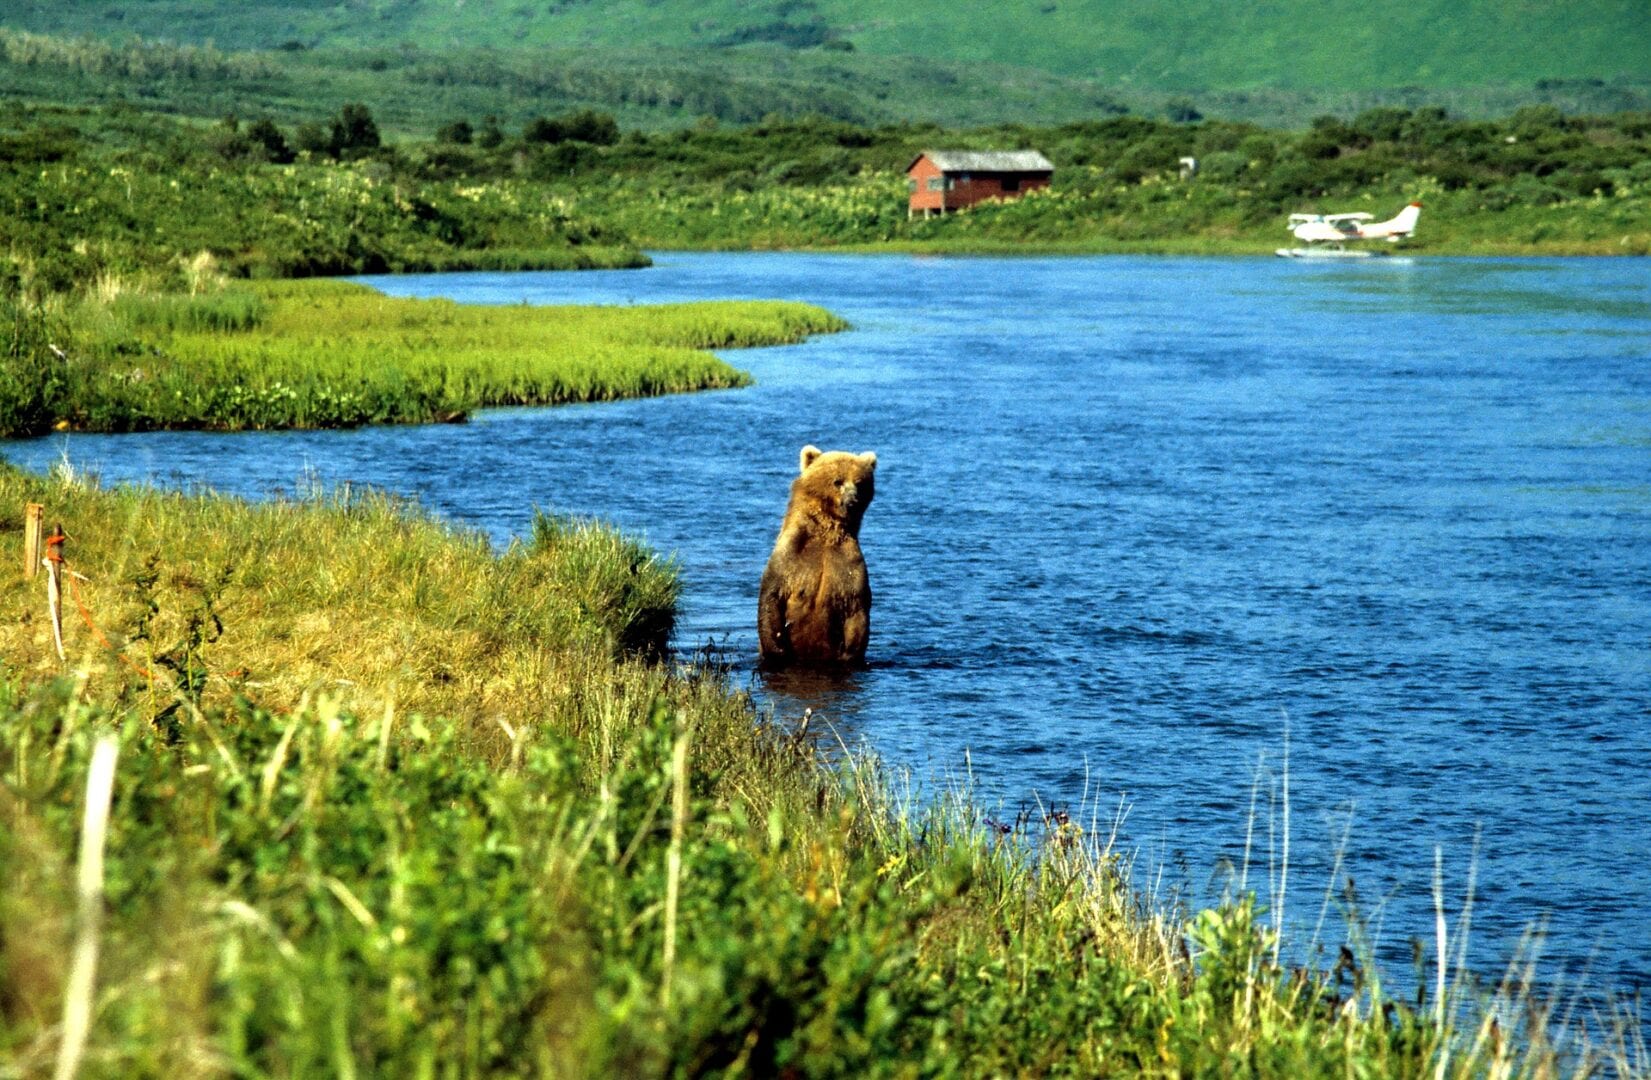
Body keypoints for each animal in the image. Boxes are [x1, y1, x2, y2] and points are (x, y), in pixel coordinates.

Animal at [756, 445, 878, 667]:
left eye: (860, 483)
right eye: (838, 481)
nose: (852, 501)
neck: (826, 533)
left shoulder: (848, 565)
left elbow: (856, 608)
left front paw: (851, 654)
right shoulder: (790, 558)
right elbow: (772, 598)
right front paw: (776, 650)